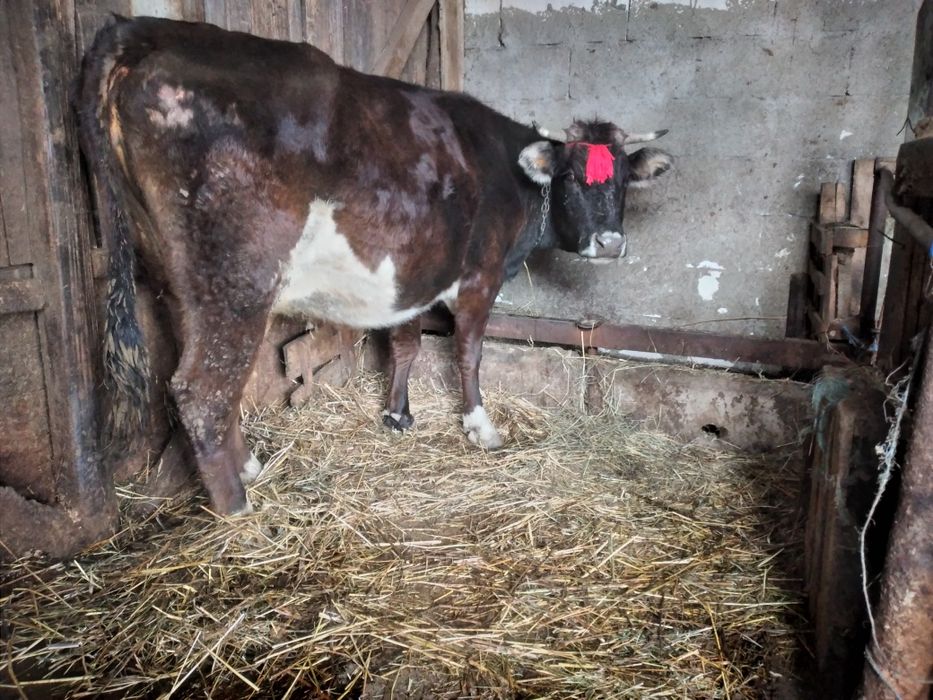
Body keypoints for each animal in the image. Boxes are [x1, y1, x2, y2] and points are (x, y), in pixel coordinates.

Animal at [77, 16, 672, 516]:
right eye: (571, 177)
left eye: (623, 179)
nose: (610, 242)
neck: (509, 174)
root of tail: (145, 30)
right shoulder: (479, 276)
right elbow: (469, 352)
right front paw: (480, 427)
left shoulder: (414, 275)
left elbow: (405, 345)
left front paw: (397, 414)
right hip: (237, 279)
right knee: (201, 389)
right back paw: (239, 512)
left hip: (180, 282)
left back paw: (248, 467)